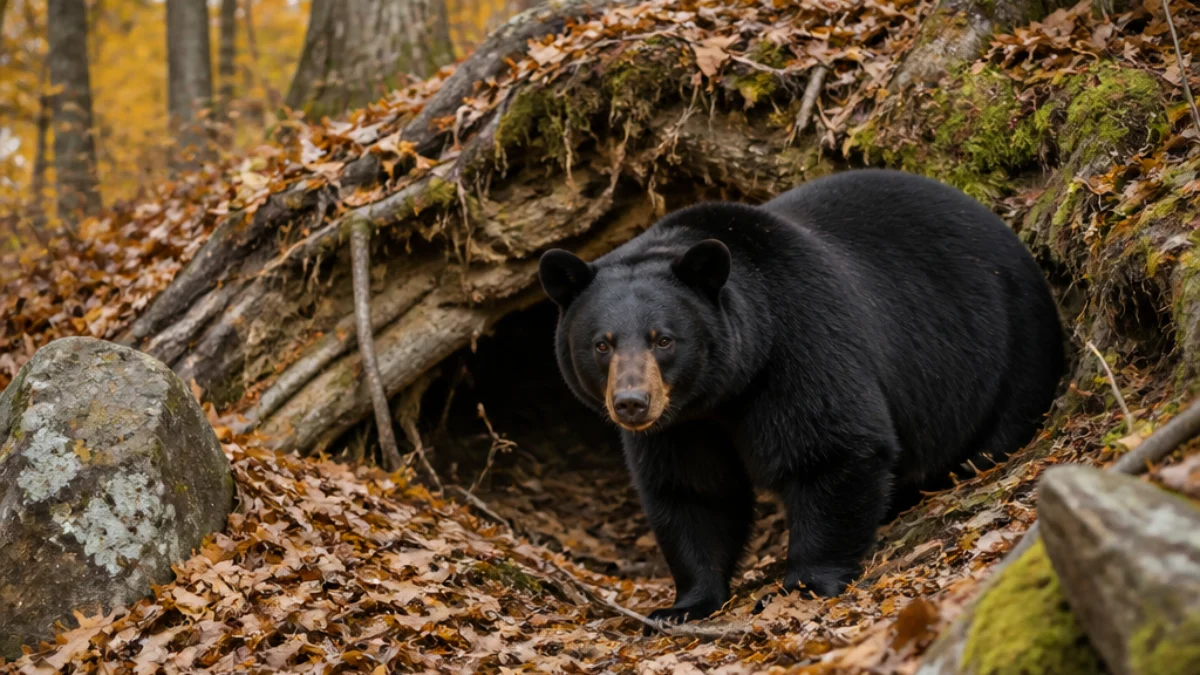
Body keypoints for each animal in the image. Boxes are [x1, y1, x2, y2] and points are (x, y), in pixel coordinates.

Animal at [537, 168, 1065, 625]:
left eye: (663, 339)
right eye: (602, 344)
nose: (632, 403)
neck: (724, 390)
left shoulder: (798, 343)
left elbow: (831, 448)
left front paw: (804, 584)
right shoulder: (683, 423)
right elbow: (692, 491)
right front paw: (684, 604)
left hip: (1012, 349)